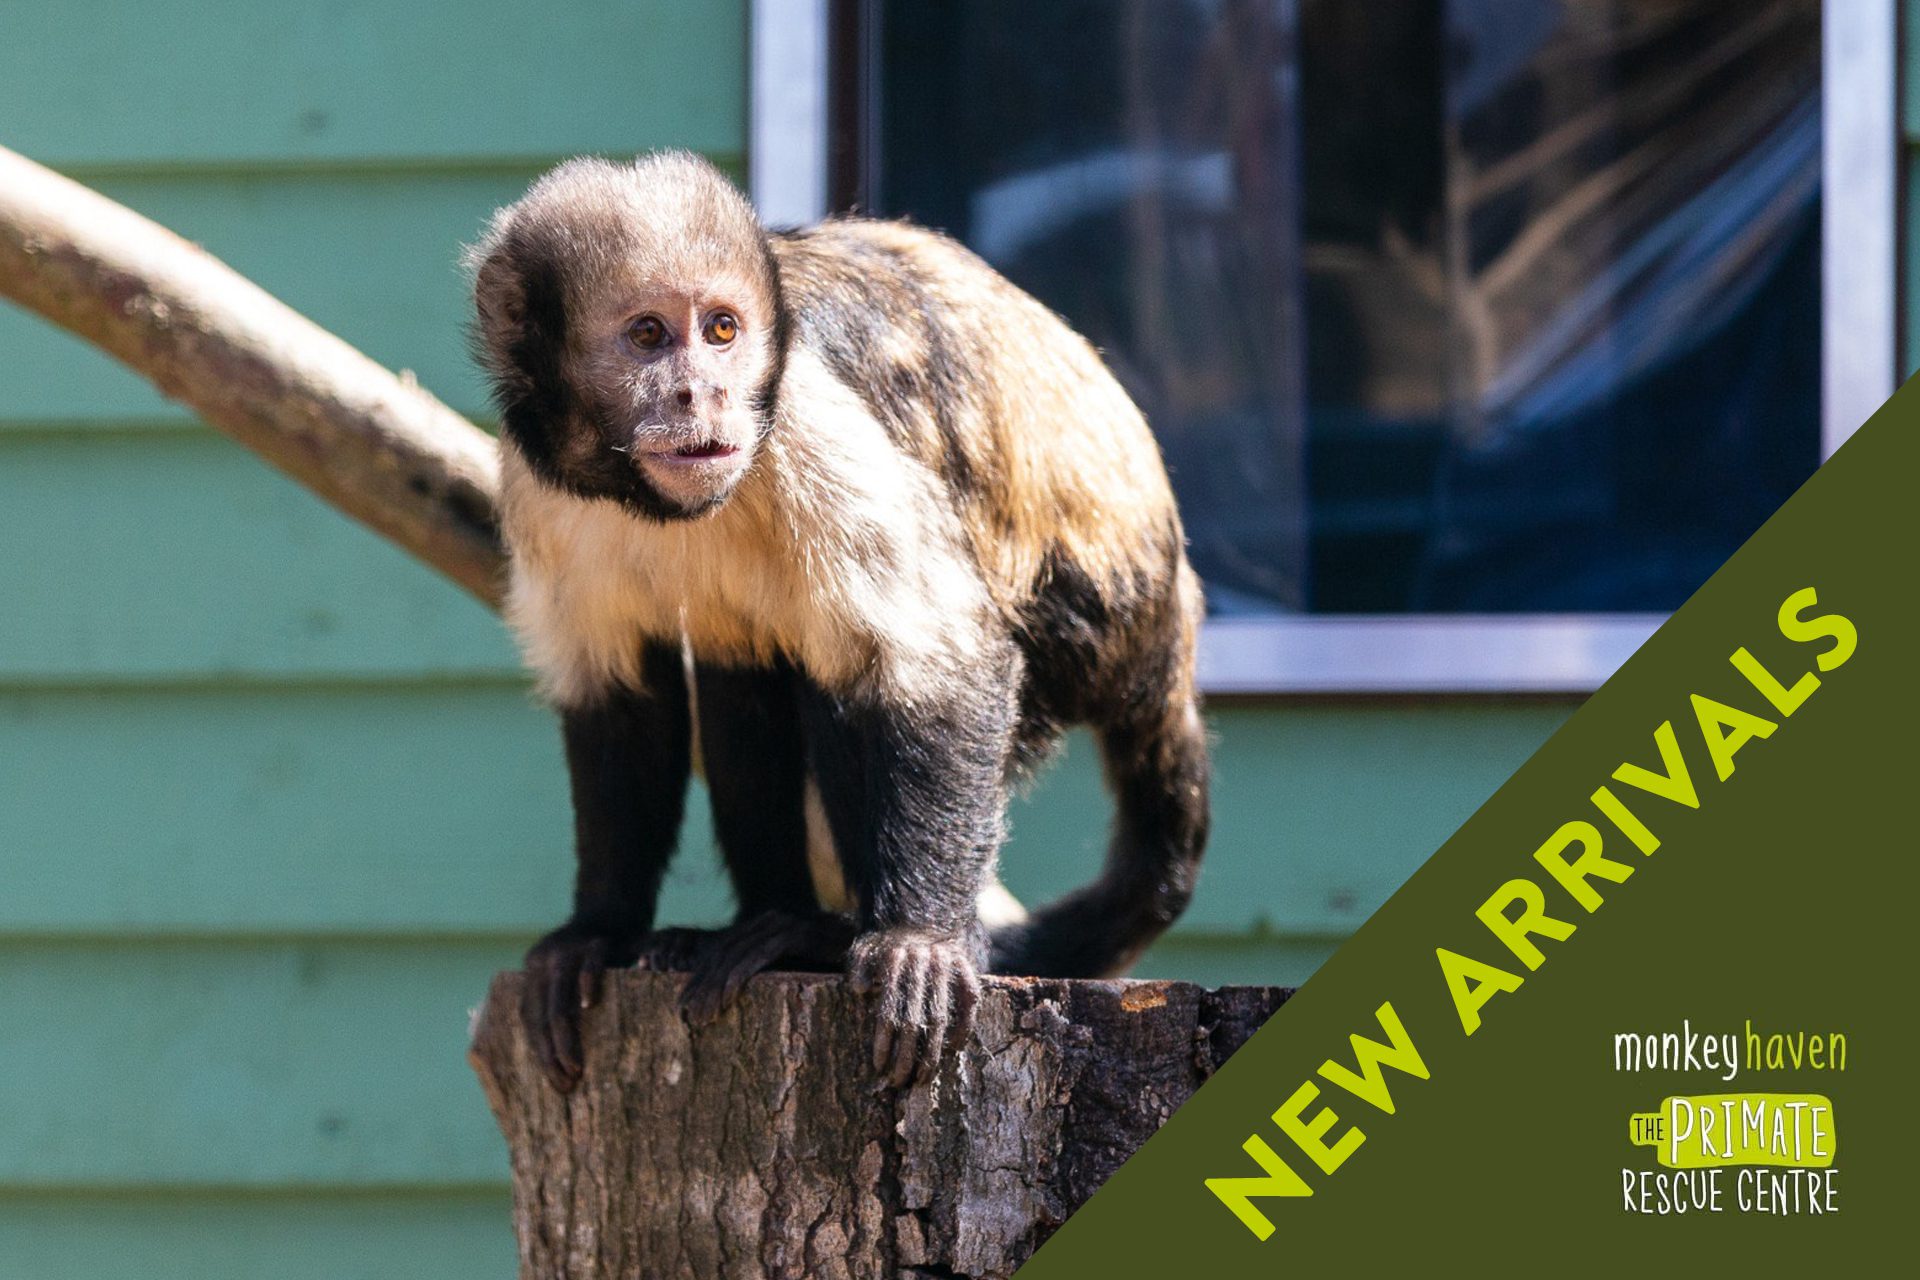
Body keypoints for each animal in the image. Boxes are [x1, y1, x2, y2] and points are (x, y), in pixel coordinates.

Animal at [469, 151, 1210, 1092]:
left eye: (721, 331)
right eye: (646, 336)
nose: (702, 392)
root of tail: (1168, 608)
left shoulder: (802, 415)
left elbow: (943, 662)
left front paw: (921, 940)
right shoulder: (540, 480)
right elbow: (619, 696)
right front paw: (598, 930)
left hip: (1084, 621)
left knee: (850, 672)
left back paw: (830, 936)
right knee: (740, 668)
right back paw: (766, 918)